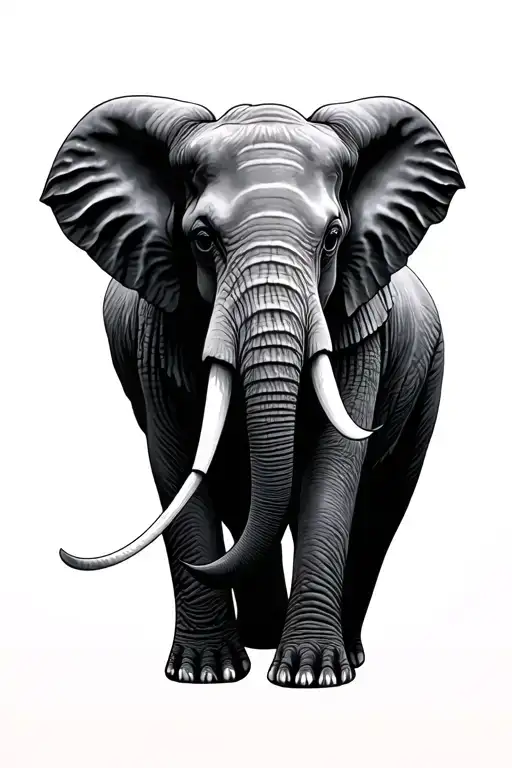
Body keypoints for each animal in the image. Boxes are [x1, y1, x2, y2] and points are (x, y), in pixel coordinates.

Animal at [40, 94, 463, 688]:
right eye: (201, 239)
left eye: (333, 238)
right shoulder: (157, 330)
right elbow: (176, 461)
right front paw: (204, 673)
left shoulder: (362, 329)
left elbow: (335, 466)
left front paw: (311, 676)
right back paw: (259, 641)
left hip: (430, 373)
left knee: (382, 505)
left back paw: (345, 653)